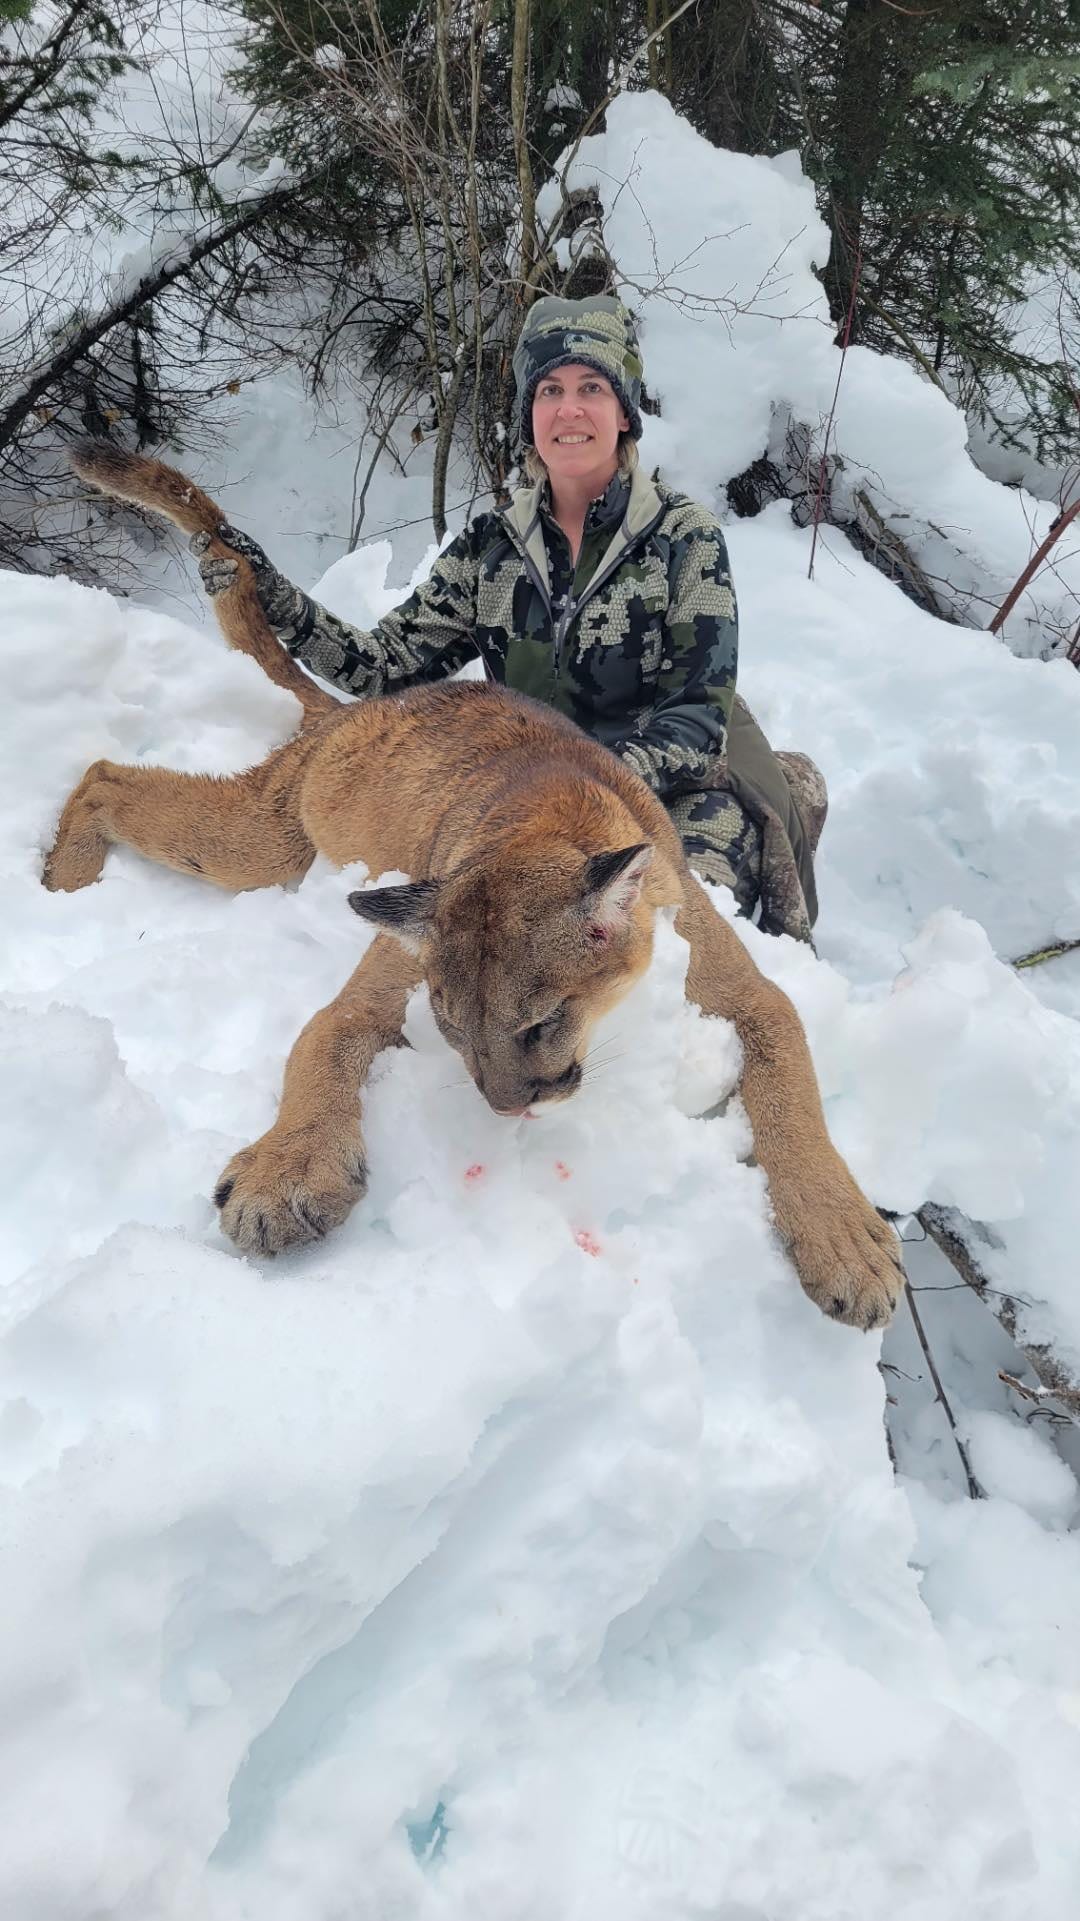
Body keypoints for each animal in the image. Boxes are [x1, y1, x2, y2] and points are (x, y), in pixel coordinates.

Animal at [44, 440, 903, 1329]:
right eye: (452, 1027)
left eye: (543, 1021)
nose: (505, 1103)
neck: (539, 818)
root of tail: (349, 712)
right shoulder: (387, 976)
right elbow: (321, 1035)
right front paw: (285, 1173)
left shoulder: (743, 988)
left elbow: (794, 1090)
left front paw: (845, 1240)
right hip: (269, 833)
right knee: (106, 772)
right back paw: (67, 876)